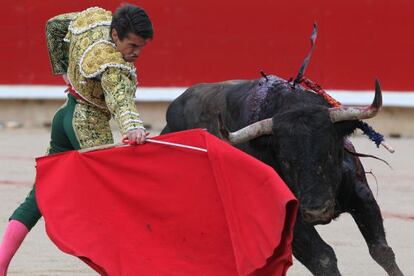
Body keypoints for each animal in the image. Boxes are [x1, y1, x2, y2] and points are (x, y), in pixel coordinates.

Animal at [162, 74, 404, 274]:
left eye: (329, 152)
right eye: (286, 161)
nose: (317, 212)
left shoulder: (361, 194)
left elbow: (381, 250)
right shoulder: (290, 221)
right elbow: (323, 258)